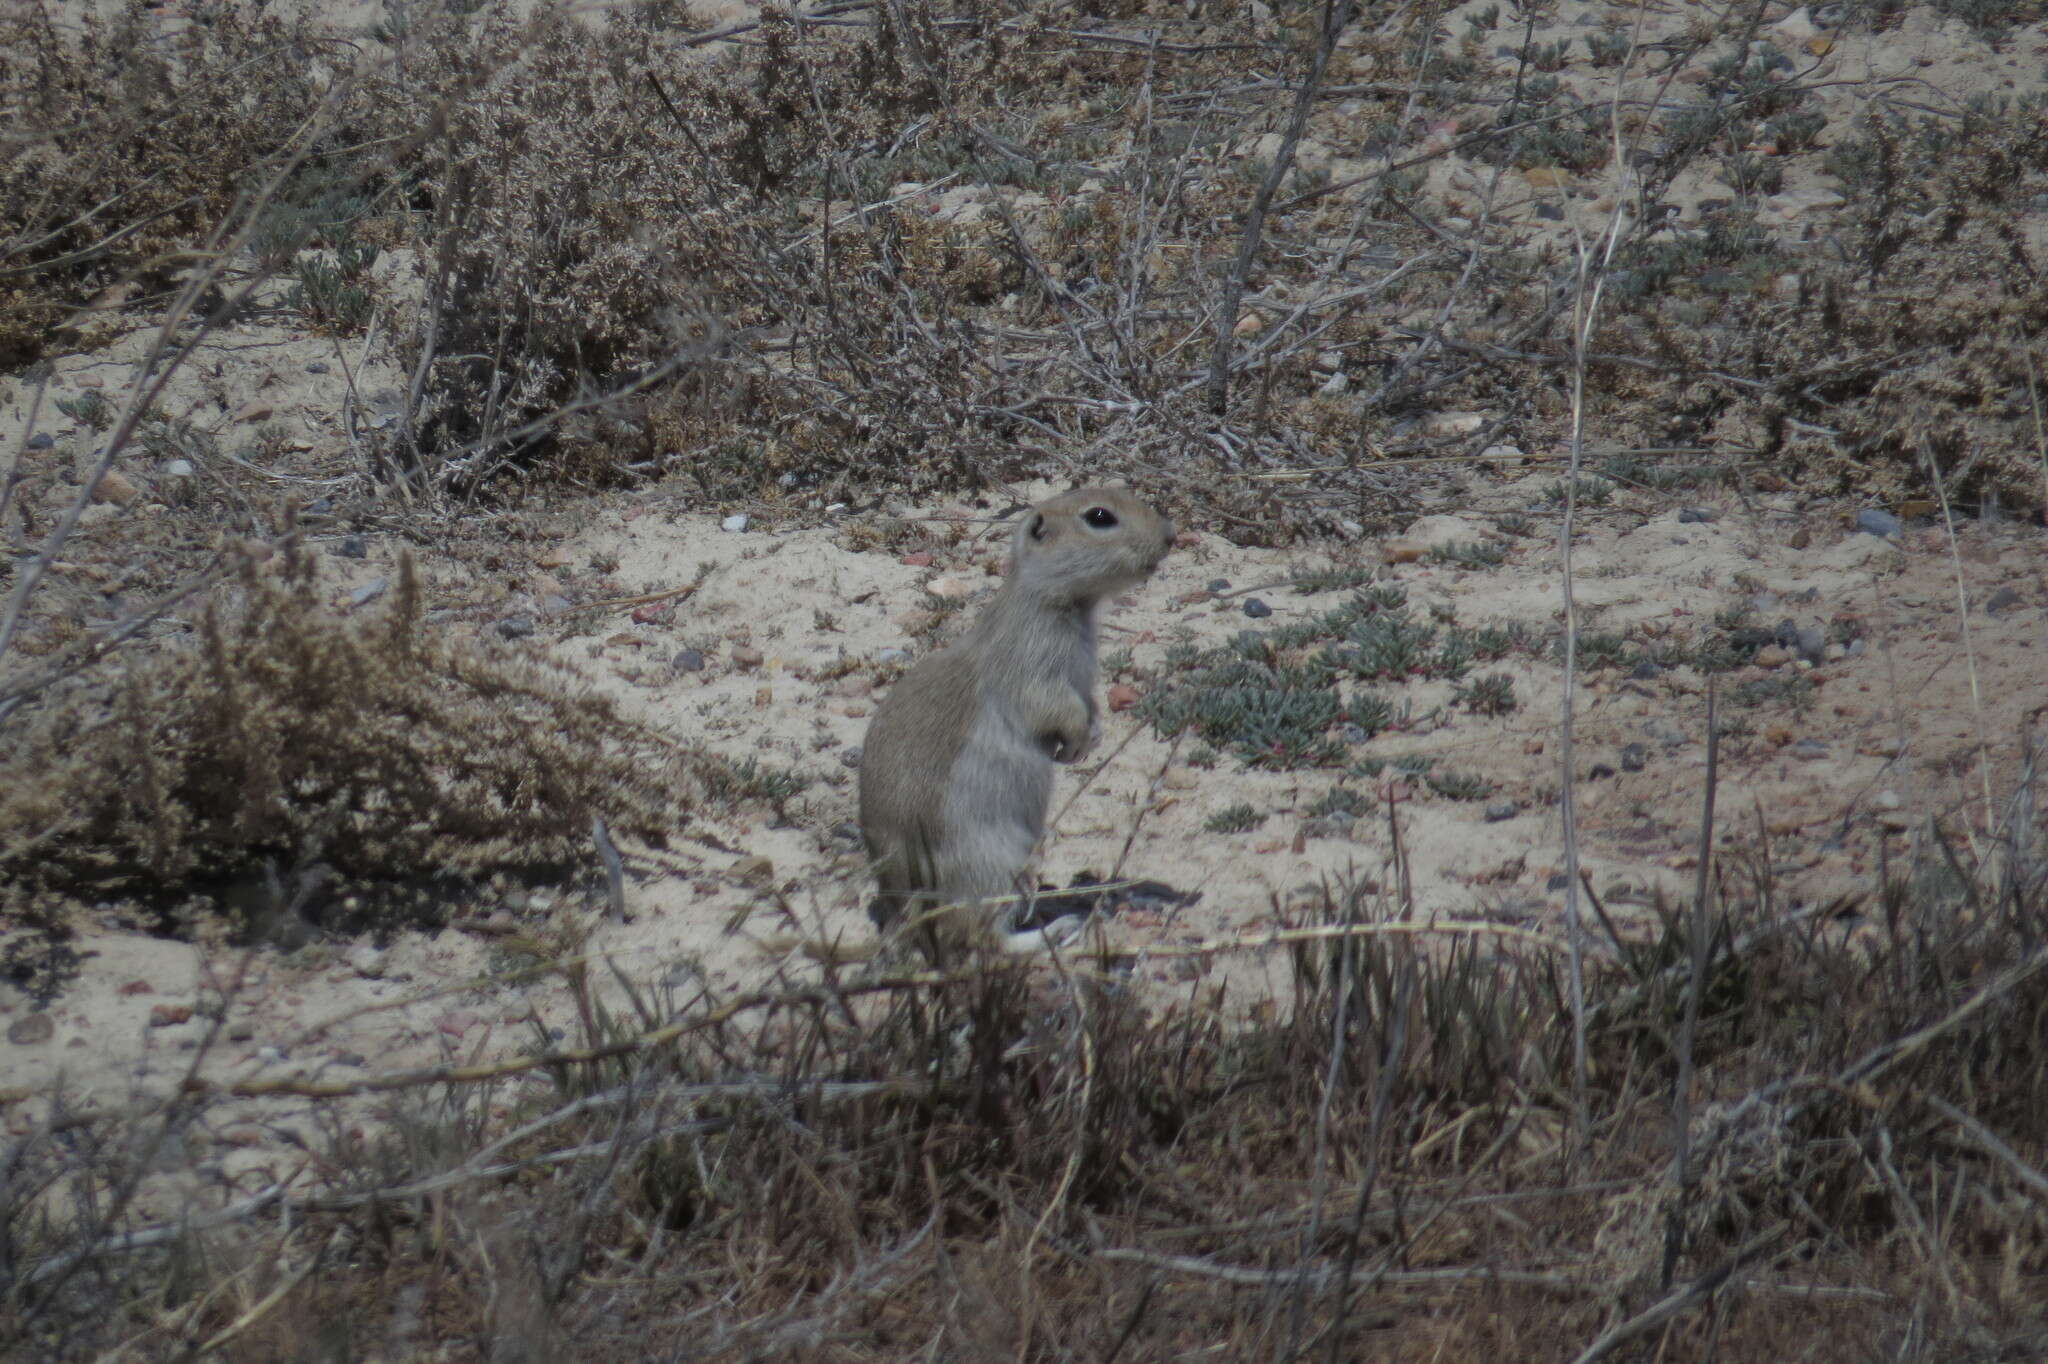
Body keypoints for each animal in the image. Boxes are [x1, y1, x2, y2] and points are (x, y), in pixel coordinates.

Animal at [856, 485, 1179, 954]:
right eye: (1099, 517)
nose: (1172, 536)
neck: (1062, 603)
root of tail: (900, 918)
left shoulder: (1082, 679)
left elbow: (1089, 706)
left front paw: (1089, 741)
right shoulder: (1035, 670)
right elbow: (1058, 709)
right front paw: (1078, 743)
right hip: (989, 865)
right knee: (982, 937)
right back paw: (1058, 929)